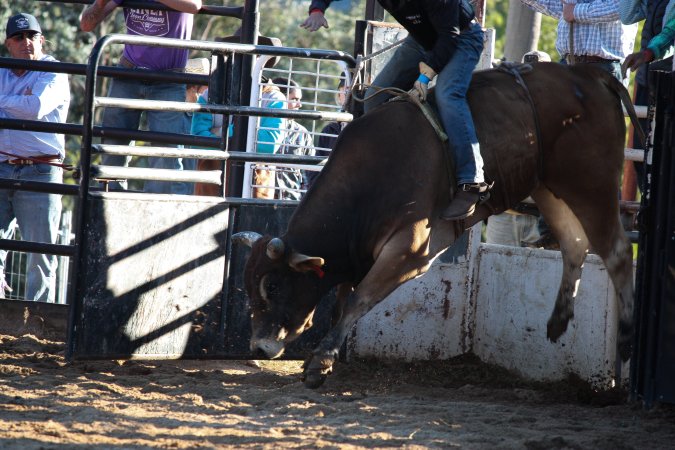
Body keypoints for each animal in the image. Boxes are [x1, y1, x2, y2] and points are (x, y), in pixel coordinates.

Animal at [233, 62, 639, 388]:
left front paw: (319, 364)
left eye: (273, 284)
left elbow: (359, 300)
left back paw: (625, 338)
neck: (372, 179)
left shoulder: (409, 253)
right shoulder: (357, 252)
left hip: (590, 181)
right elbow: (343, 302)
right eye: (248, 285)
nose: (258, 346)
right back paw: (559, 320)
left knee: (617, 253)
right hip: (548, 186)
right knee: (574, 244)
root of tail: (588, 74)